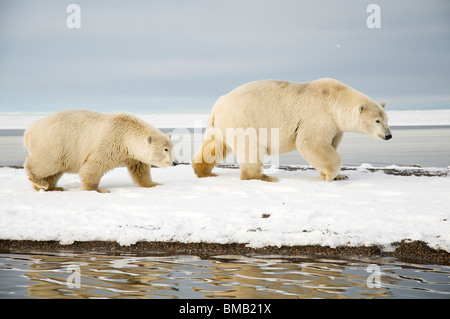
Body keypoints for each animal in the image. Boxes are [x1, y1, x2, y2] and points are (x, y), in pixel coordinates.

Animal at [23, 110, 176, 192]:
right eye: (165, 149)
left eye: (172, 147)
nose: (174, 162)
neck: (127, 134)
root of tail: (28, 131)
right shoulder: (111, 142)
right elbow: (95, 165)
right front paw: (98, 190)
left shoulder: (131, 153)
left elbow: (140, 169)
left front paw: (154, 184)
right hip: (55, 143)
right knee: (48, 163)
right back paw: (40, 182)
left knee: (54, 171)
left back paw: (51, 187)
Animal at [192, 78, 392, 182]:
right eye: (377, 121)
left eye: (386, 119)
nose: (388, 135)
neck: (333, 99)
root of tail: (218, 104)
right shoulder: (318, 115)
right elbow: (310, 143)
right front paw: (330, 175)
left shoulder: (335, 127)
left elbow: (330, 145)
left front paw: (340, 176)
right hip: (243, 121)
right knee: (250, 148)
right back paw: (263, 177)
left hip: (222, 124)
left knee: (215, 145)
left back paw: (203, 171)